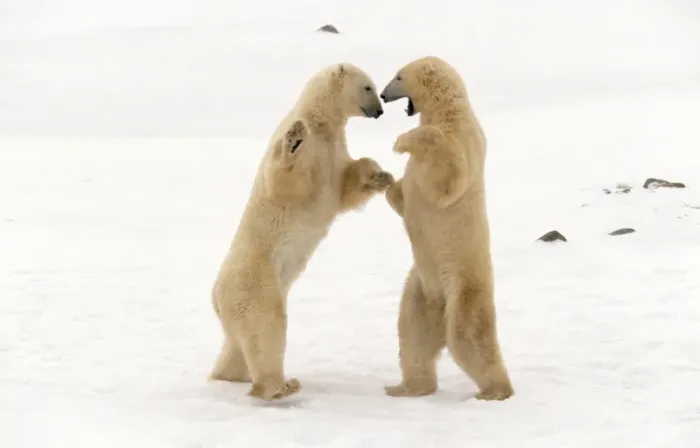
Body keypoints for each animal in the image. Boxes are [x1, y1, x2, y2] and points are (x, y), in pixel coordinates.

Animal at [209, 63, 394, 401]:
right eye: (368, 87)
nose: (379, 110)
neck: (320, 121)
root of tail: (216, 294)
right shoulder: (308, 150)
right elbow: (288, 179)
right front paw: (294, 140)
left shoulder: (335, 152)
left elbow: (346, 187)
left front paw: (380, 174)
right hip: (255, 280)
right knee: (266, 325)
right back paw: (278, 387)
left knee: (238, 345)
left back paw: (228, 376)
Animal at [378, 56, 514, 401]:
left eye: (398, 76)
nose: (383, 95)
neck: (449, 111)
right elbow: (404, 197)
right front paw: (386, 180)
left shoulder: (461, 141)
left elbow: (446, 179)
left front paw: (402, 142)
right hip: (421, 287)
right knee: (412, 333)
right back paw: (405, 387)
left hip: (462, 282)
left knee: (468, 334)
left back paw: (494, 391)